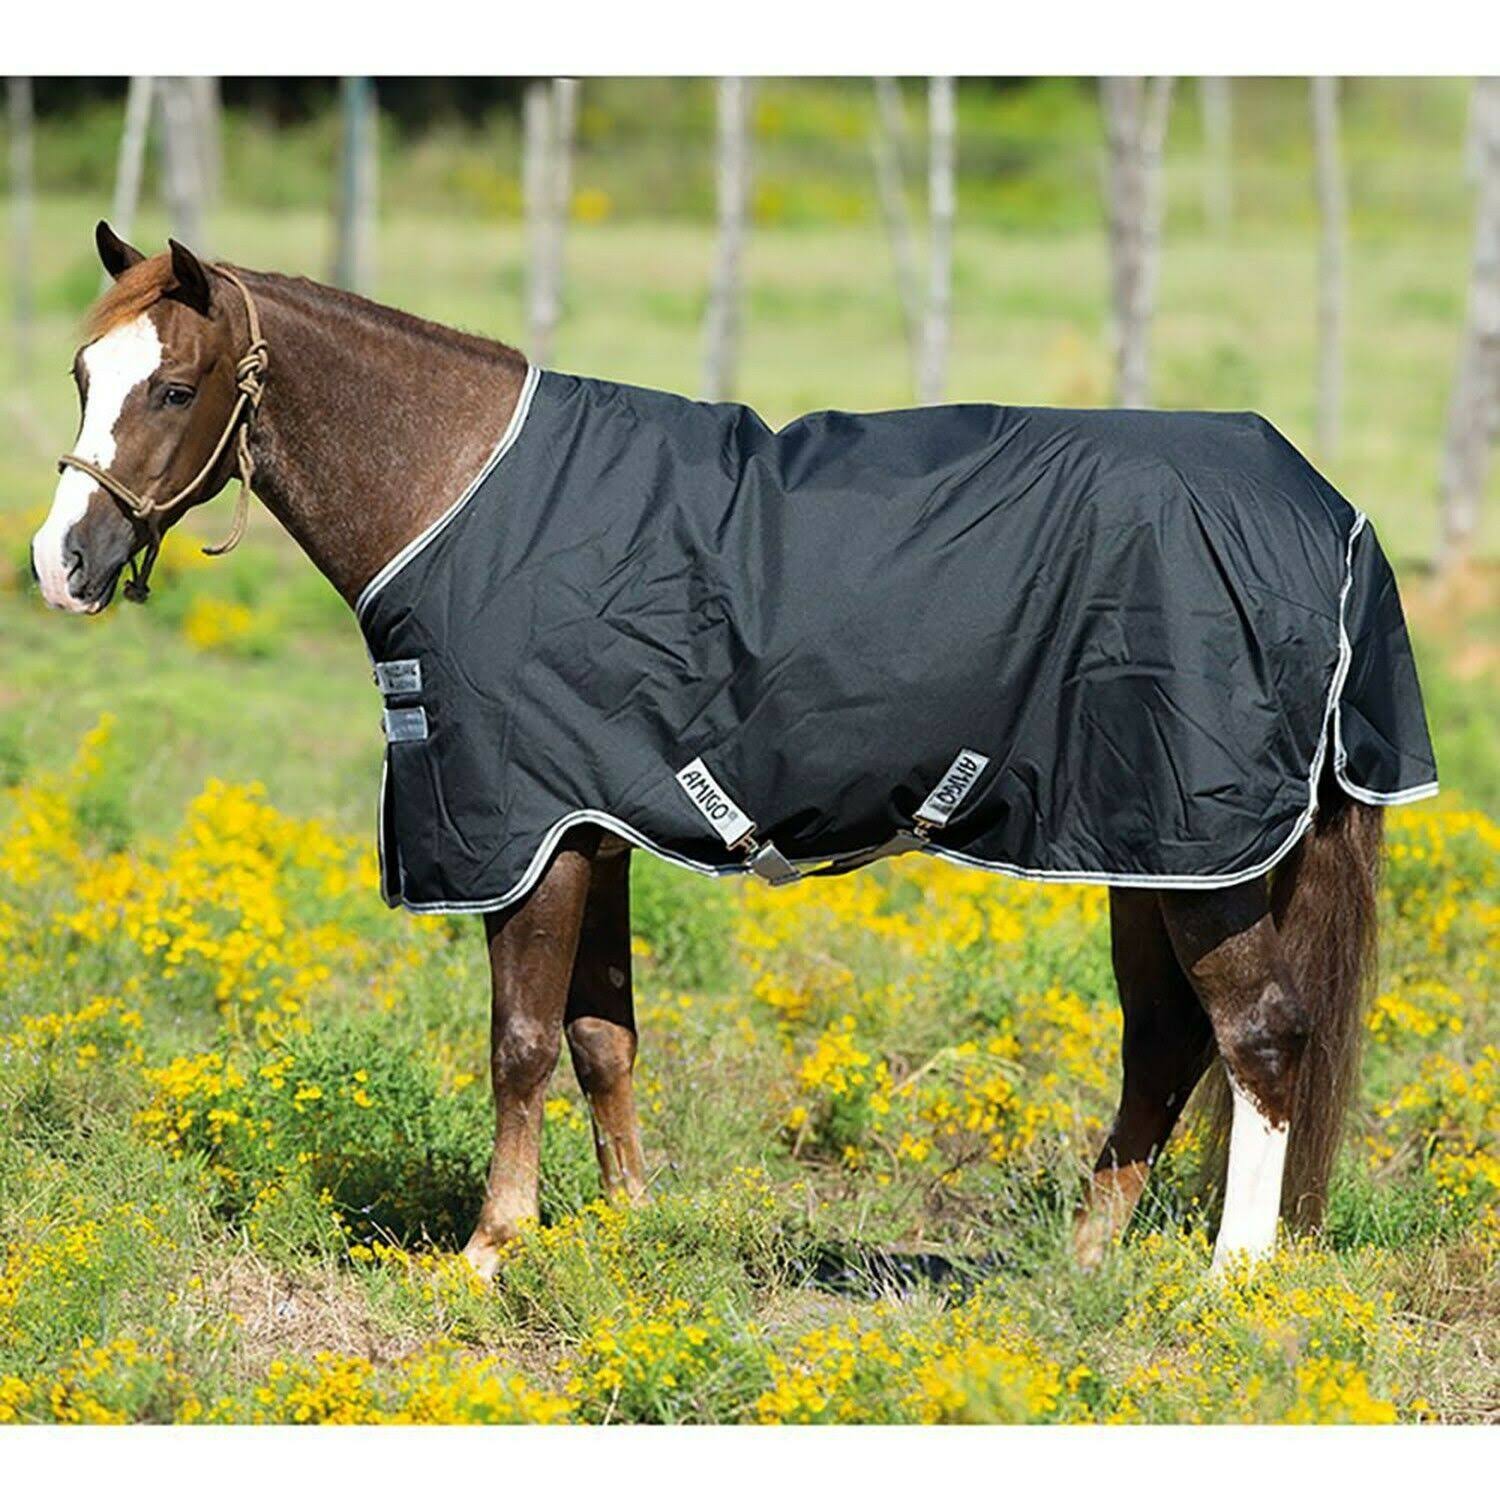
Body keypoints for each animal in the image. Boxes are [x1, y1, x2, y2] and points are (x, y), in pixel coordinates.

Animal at [32, 223, 1430, 1281]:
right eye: (80, 374)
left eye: (171, 388)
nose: (61, 563)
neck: (466, 497)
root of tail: (1332, 512)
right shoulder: (591, 826)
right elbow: (602, 1037)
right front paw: (630, 1225)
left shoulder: (529, 836)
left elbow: (520, 1039)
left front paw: (489, 1252)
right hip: (1147, 846)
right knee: (1166, 1044)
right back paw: (1087, 1261)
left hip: (1204, 848)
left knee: (1260, 1035)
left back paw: (1229, 1281)